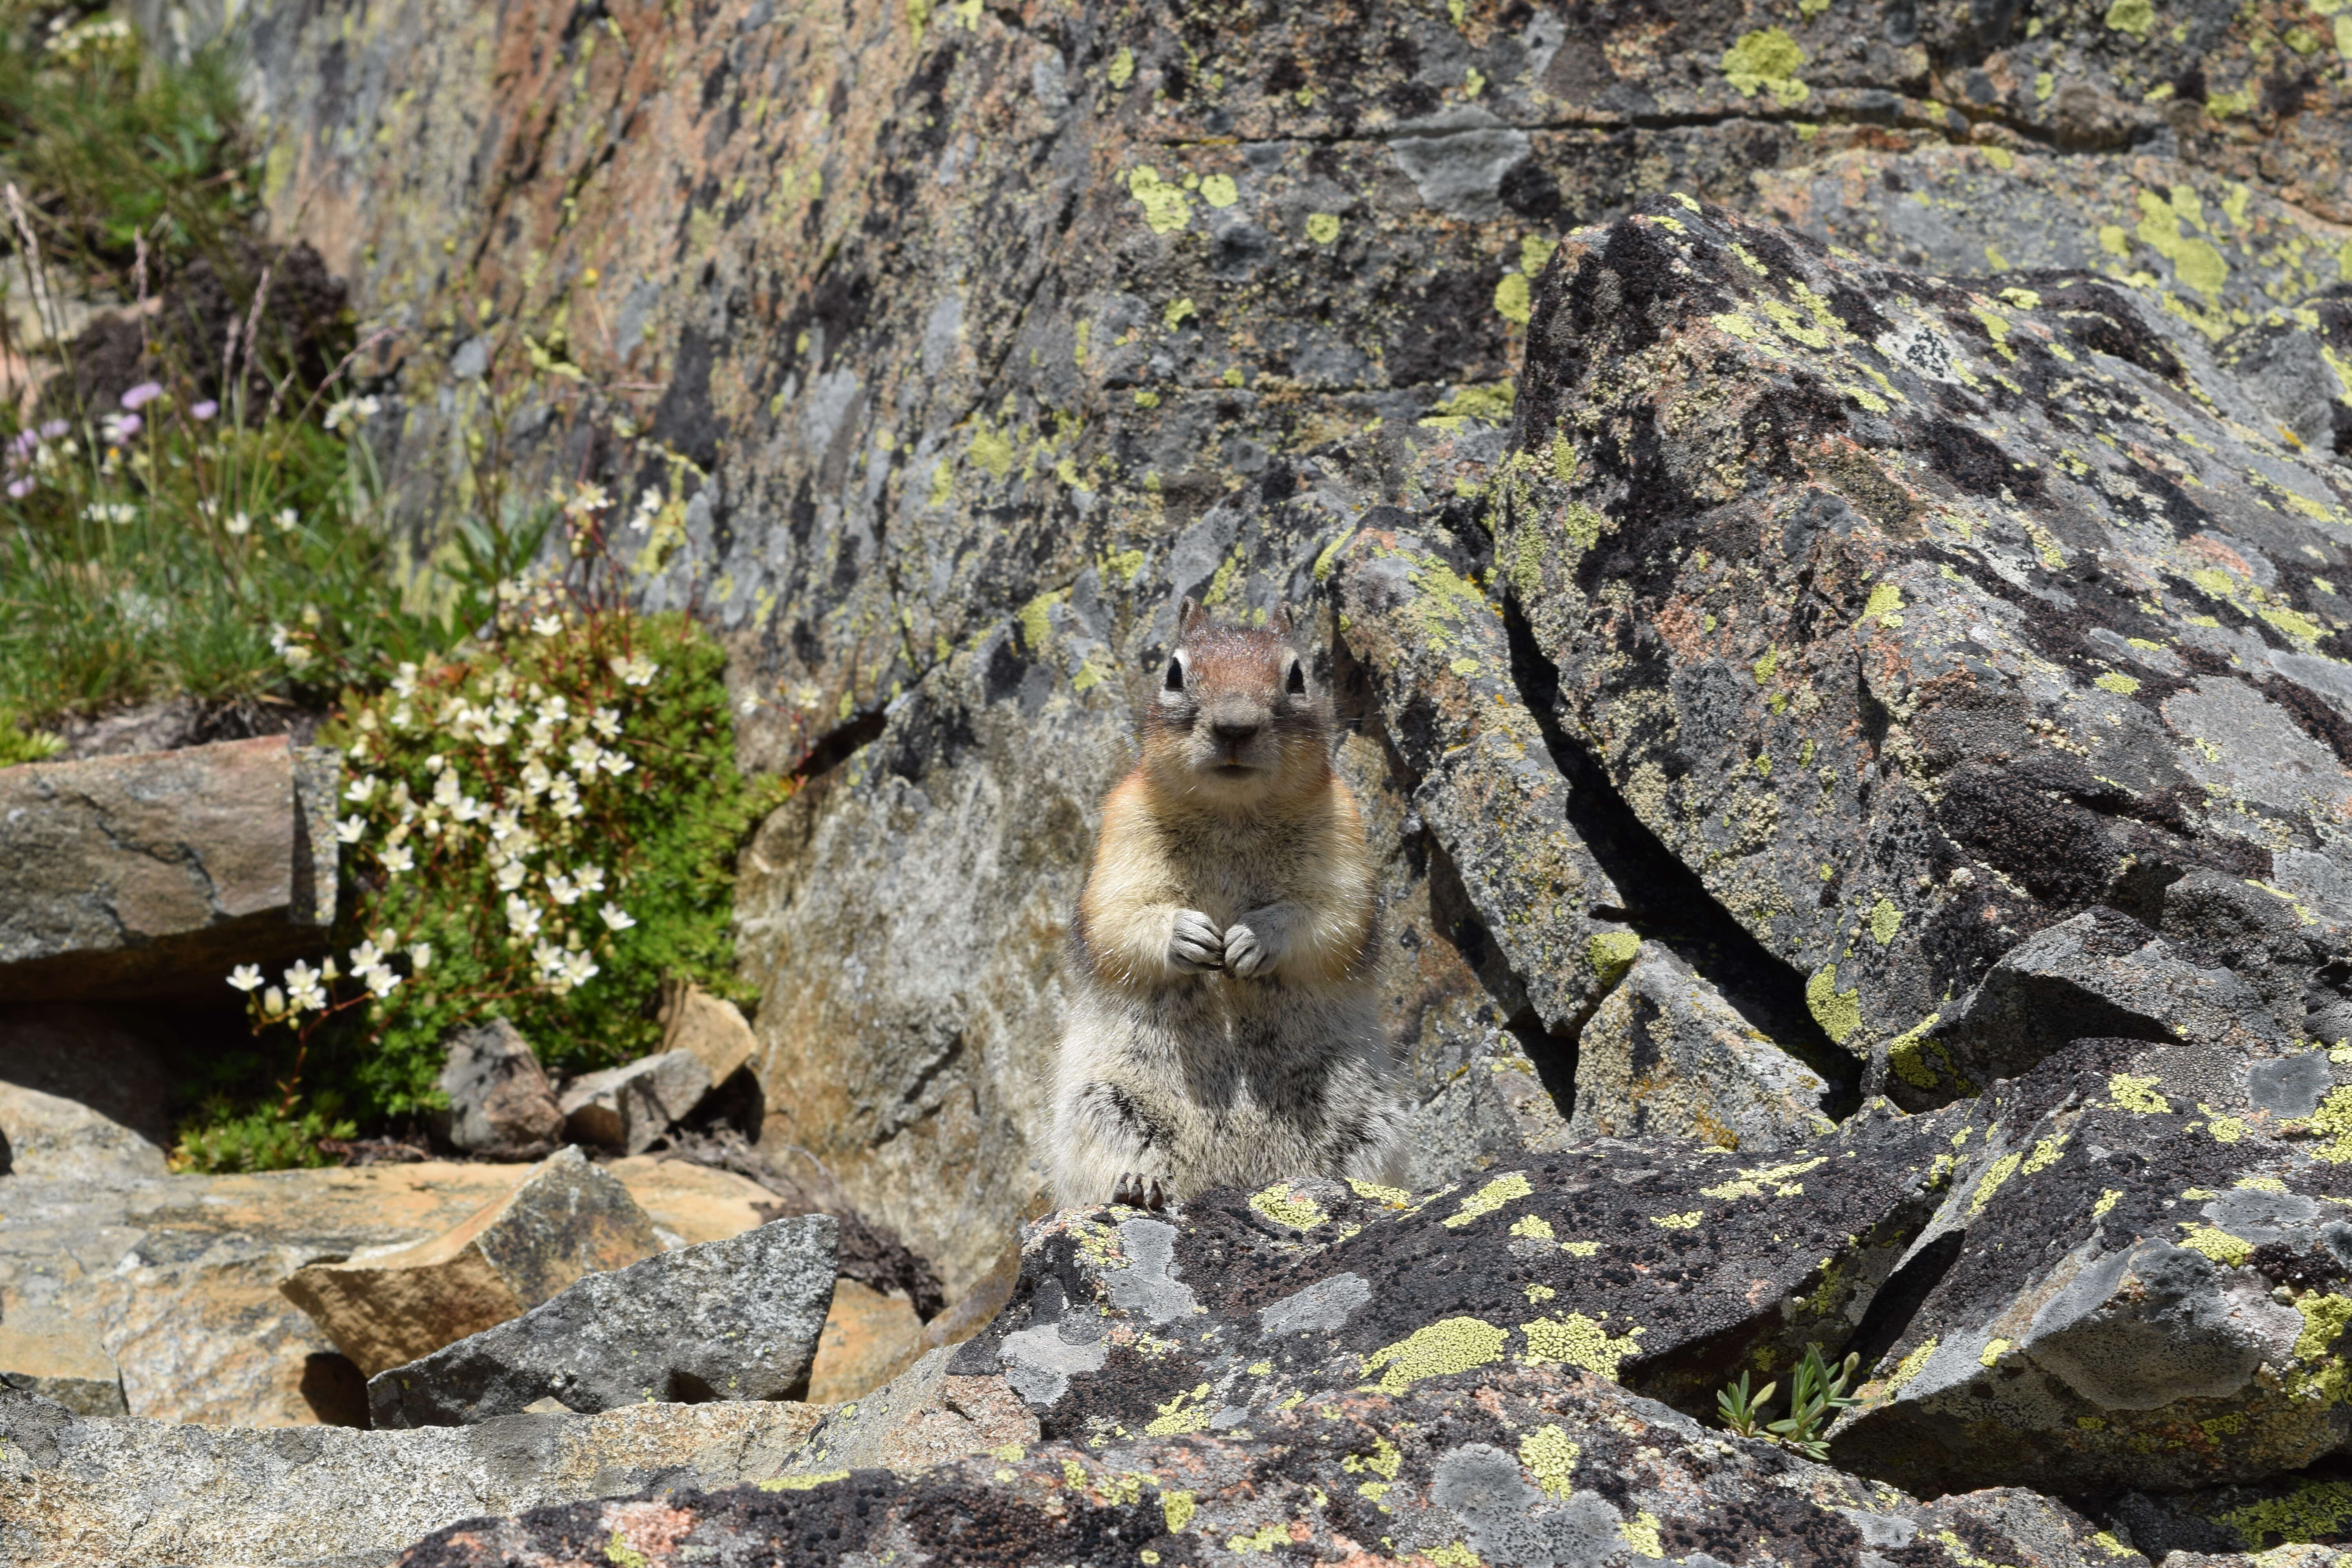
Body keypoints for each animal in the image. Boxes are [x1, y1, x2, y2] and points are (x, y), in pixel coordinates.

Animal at [1054, 595, 1411, 1213]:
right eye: (1174, 673)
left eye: (1297, 676)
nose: (1235, 726)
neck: (1233, 814)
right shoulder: (1122, 831)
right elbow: (1116, 917)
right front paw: (1188, 936)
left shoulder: (1344, 834)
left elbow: (1333, 917)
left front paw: (1253, 939)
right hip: (1103, 1106)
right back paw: (1139, 1186)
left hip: (1370, 1123)